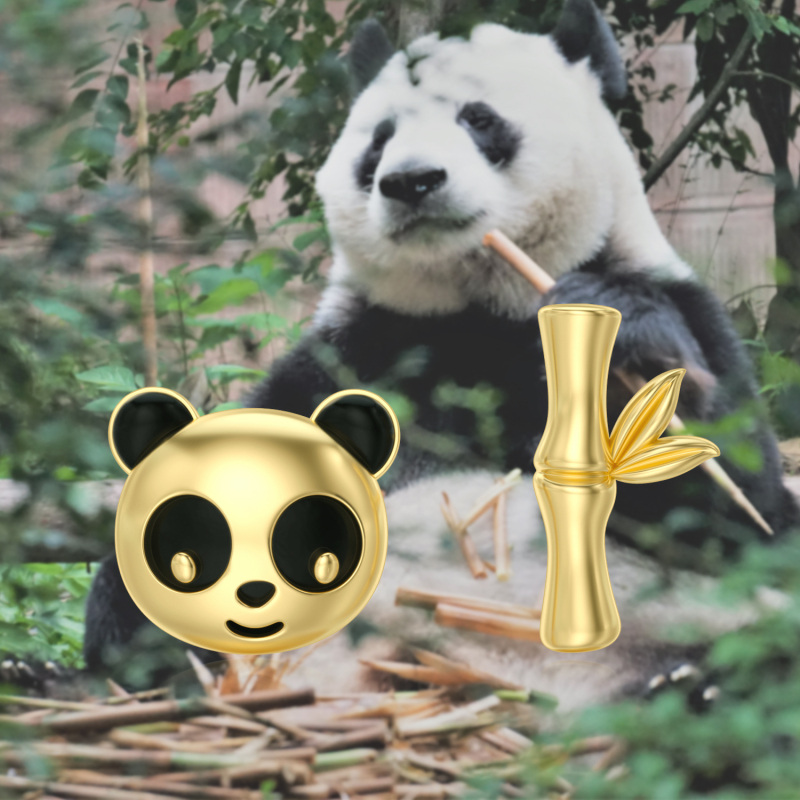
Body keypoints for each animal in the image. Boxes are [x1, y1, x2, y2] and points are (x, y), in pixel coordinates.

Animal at [83, 0, 797, 702]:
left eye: (478, 119)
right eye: (379, 139)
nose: (411, 180)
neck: (475, 309)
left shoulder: (684, 309)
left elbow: (746, 514)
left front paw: (625, 353)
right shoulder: (351, 354)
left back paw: (690, 683)